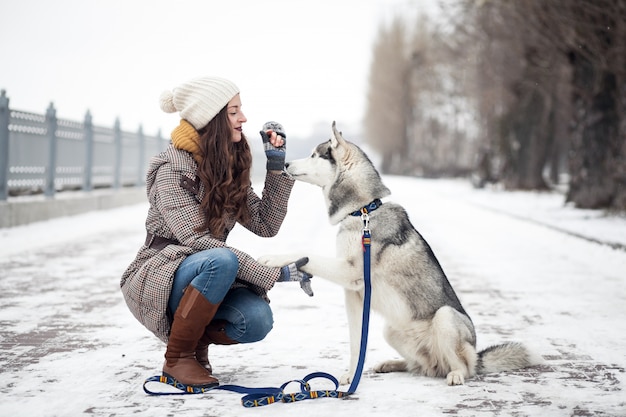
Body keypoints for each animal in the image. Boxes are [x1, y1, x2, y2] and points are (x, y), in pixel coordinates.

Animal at [258, 122, 536, 386]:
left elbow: (305, 252)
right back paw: (393, 364)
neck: (362, 211)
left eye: (315, 155)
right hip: (390, 331)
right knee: (421, 366)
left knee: (462, 367)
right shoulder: (353, 293)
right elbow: (355, 342)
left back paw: (456, 374)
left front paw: (271, 258)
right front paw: (351, 376)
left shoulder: (350, 271)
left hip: (446, 318)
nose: (286, 163)